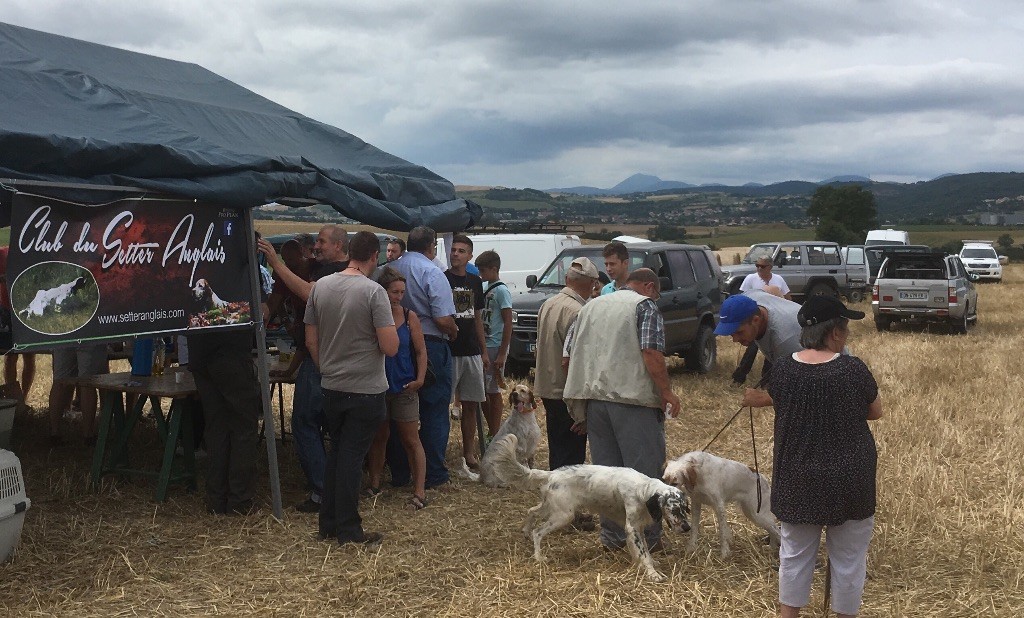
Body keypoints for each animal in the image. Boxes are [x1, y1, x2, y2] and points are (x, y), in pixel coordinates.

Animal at [491, 431, 692, 581]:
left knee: (532, 511)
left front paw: (651, 565)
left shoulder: (638, 527)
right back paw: (539, 557)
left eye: (685, 509)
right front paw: (653, 574)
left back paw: (525, 531)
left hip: (552, 508)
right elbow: (643, 553)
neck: (643, 490)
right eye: (675, 510)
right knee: (538, 532)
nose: (687, 527)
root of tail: (551, 474)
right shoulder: (632, 527)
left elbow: (645, 551)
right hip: (563, 515)